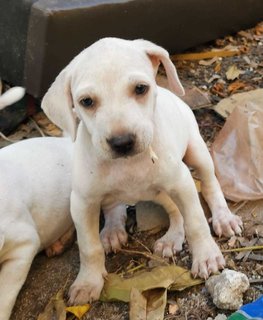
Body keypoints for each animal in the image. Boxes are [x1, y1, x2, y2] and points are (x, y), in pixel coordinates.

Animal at [0, 38, 243, 318]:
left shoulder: (180, 181)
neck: (128, 165)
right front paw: (88, 282)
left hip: (195, 154)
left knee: (208, 185)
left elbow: (196, 222)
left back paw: (221, 219)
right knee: (140, 207)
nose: (122, 142)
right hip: (149, 192)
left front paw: (205, 256)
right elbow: (88, 247)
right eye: (86, 101)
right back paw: (119, 230)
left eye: (140, 88)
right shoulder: (82, 202)